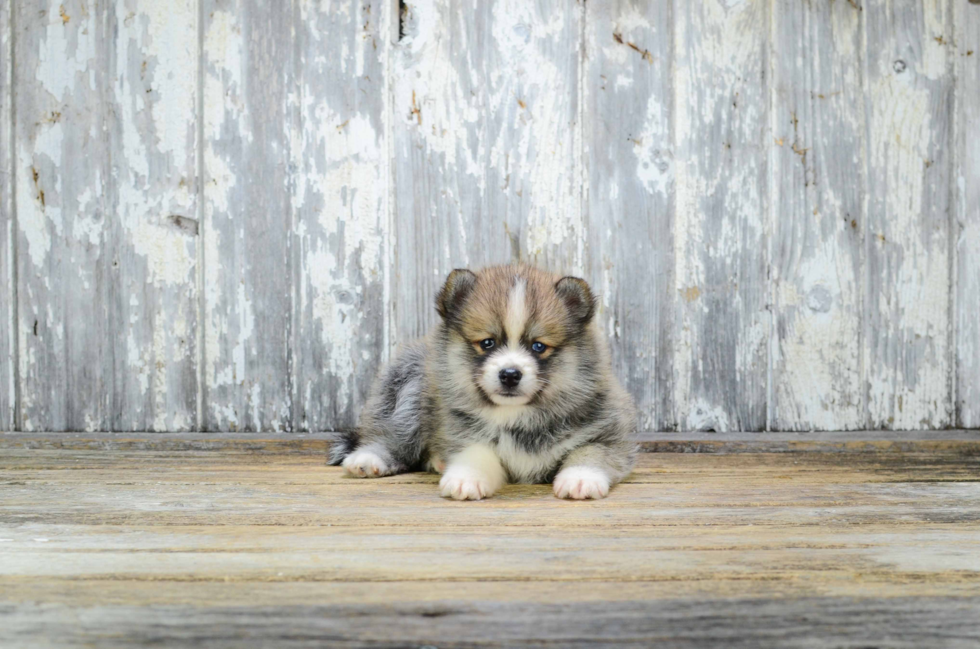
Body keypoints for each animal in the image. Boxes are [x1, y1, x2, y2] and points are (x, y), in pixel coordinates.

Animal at [330, 264, 636, 502]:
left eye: (538, 346)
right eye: (487, 343)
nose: (510, 374)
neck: (516, 416)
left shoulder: (607, 432)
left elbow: (590, 451)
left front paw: (581, 478)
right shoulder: (463, 432)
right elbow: (476, 453)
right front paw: (466, 478)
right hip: (408, 388)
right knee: (391, 436)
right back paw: (369, 459)